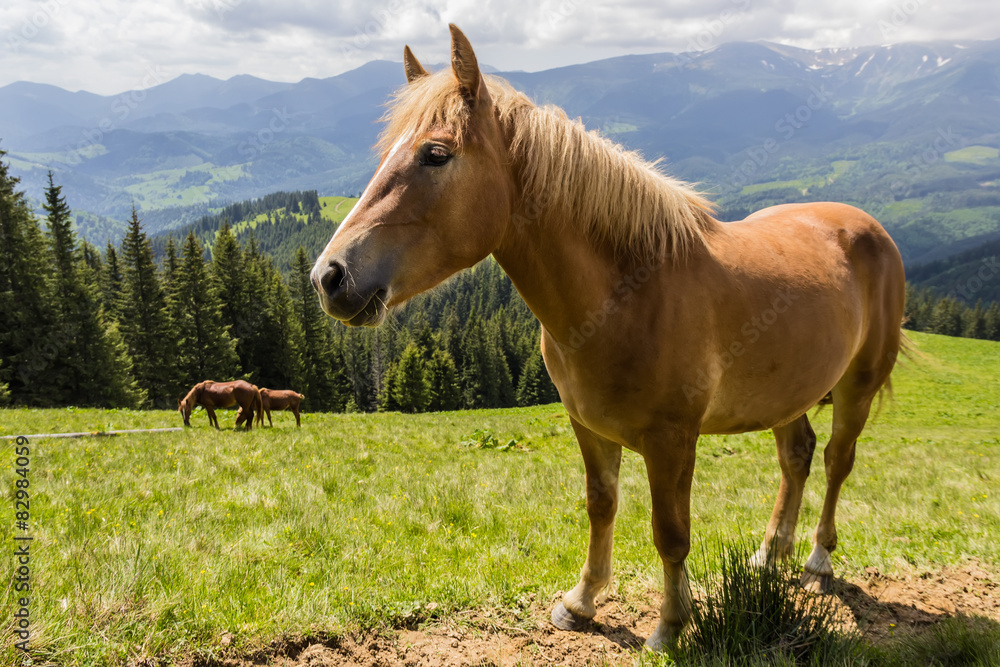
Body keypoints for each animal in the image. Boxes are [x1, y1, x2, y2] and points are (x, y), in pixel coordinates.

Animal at [309, 25, 906, 650]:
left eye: (436, 154)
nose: (330, 277)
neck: (628, 297)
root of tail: (867, 227)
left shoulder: (673, 440)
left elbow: (671, 532)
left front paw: (670, 626)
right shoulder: (588, 425)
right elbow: (601, 505)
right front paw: (583, 601)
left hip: (858, 386)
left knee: (837, 460)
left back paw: (817, 560)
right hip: (787, 392)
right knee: (797, 456)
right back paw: (771, 556)